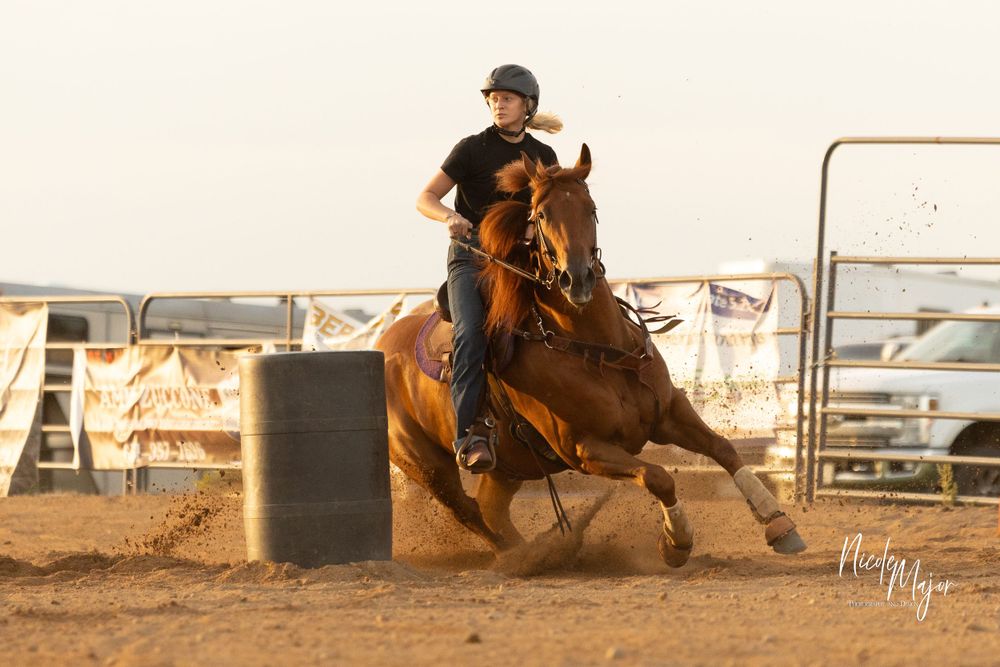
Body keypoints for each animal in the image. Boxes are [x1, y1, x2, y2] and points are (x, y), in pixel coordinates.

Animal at [375, 144, 806, 567]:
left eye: (591, 208)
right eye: (541, 215)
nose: (577, 278)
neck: (597, 352)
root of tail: (382, 343)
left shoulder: (669, 413)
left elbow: (724, 449)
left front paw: (780, 525)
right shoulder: (585, 448)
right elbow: (659, 476)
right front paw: (676, 542)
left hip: (507, 468)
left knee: (489, 509)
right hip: (426, 465)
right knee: (470, 512)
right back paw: (529, 556)